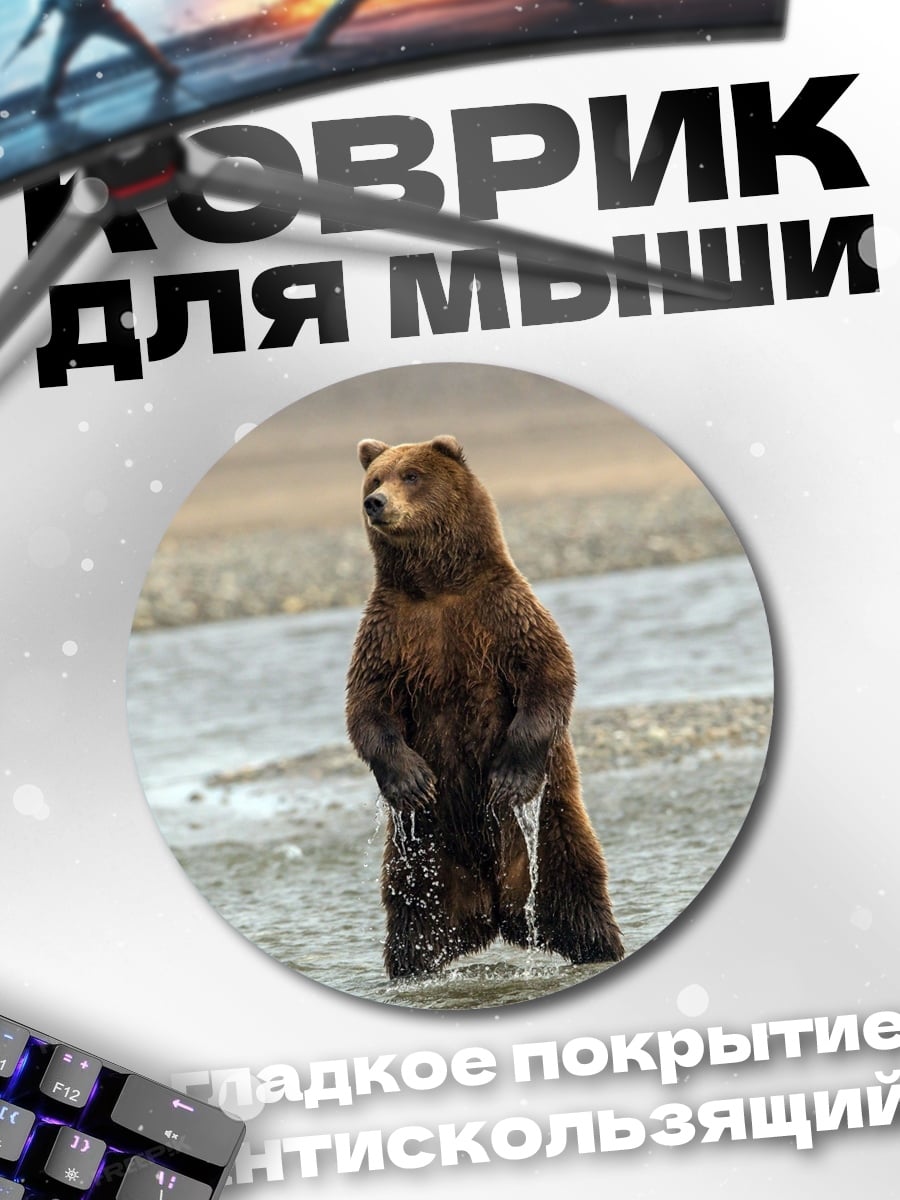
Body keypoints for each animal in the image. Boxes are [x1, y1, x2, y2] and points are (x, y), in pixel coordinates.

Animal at [345, 434, 624, 978]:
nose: (376, 503)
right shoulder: (390, 635)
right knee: (412, 919)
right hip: (421, 856)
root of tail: (494, 908)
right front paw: (411, 781)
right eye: (376, 478)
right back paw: (412, 971)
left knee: (577, 893)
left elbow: (547, 677)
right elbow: (367, 707)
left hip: (552, 831)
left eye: (411, 475)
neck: (436, 587)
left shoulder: (503, 614)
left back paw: (600, 949)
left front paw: (508, 778)